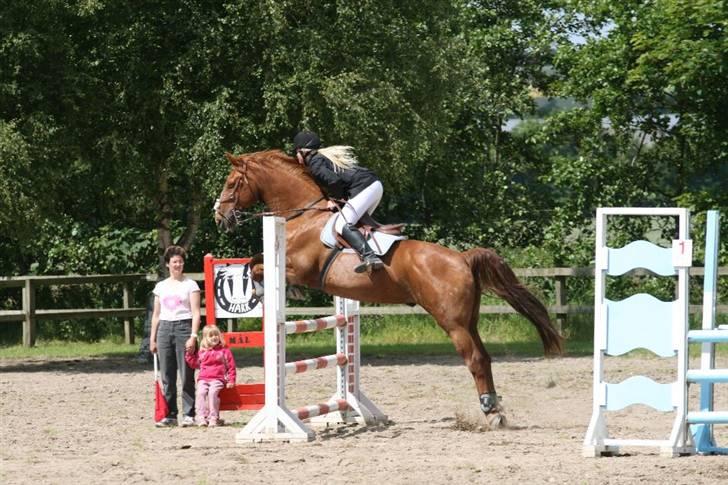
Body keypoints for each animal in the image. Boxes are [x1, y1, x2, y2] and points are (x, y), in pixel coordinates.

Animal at [212, 148, 564, 428]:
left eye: (231, 183)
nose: (219, 216)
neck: (304, 213)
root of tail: (462, 258)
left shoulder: (300, 268)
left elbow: (257, 265)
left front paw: (261, 290)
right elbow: (254, 261)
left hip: (452, 322)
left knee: (475, 359)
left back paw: (491, 413)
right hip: (469, 320)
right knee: (485, 358)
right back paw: (494, 407)